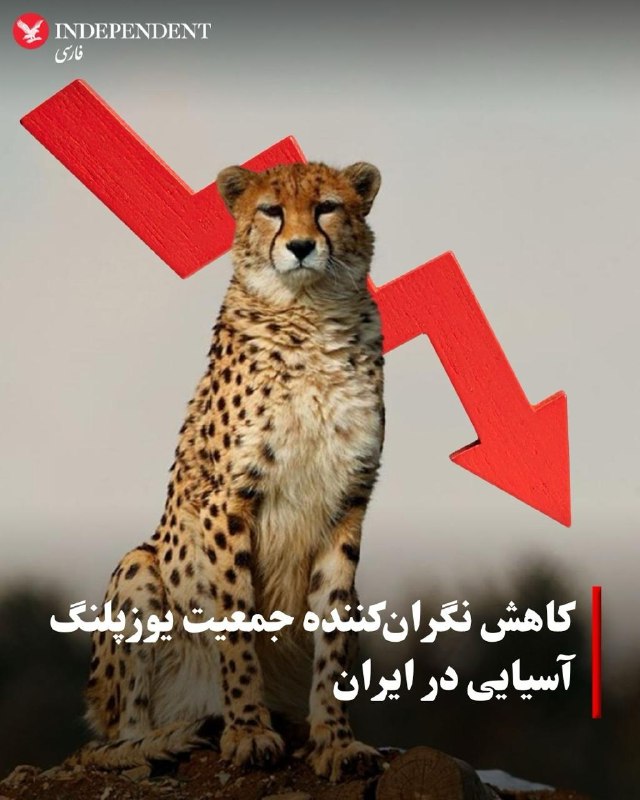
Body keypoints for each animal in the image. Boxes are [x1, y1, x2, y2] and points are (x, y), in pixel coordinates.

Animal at [75, 160, 385, 782]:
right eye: (271, 210)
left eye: (327, 207)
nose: (300, 245)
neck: (309, 316)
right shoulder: (228, 498)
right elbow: (238, 621)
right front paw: (247, 731)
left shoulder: (349, 501)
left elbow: (333, 640)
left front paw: (335, 740)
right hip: (139, 569)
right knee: (118, 736)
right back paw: (164, 740)